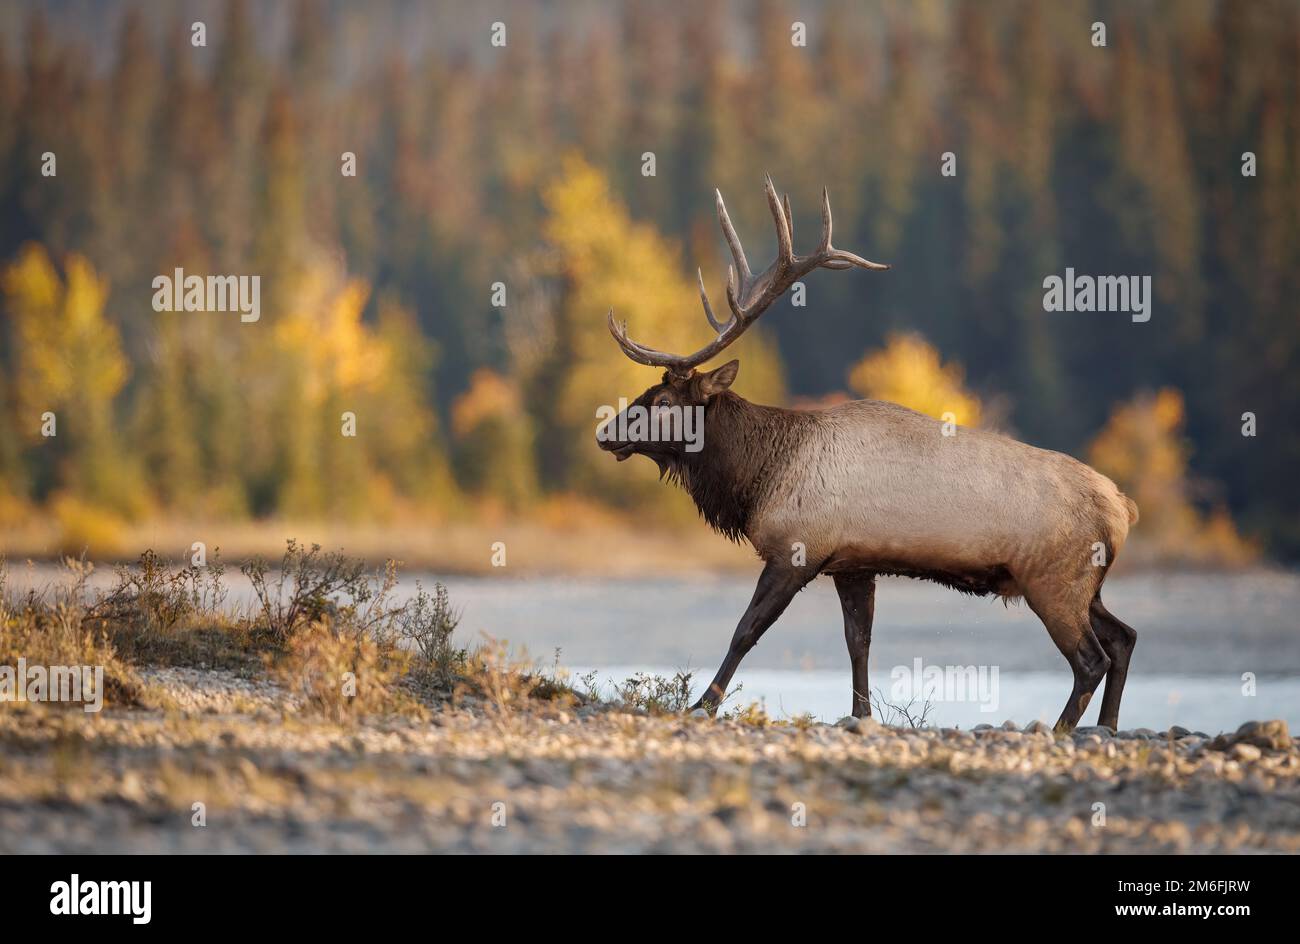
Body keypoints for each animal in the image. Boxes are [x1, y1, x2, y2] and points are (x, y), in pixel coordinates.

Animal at [597, 178, 1140, 732]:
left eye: (664, 401)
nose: (605, 432)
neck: (759, 477)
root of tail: (1123, 508)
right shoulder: (853, 564)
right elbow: (859, 643)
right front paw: (860, 713)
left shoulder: (797, 550)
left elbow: (746, 631)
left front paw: (703, 702)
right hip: (1085, 584)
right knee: (1124, 637)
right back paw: (1108, 725)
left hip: (1054, 581)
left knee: (1091, 657)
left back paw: (1062, 729)